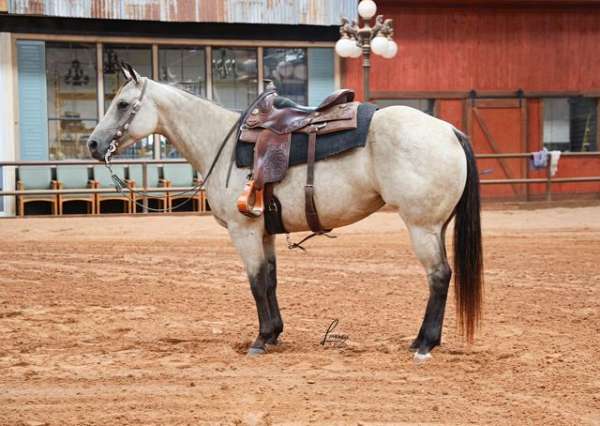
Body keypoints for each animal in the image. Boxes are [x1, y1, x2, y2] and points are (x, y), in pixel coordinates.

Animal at [88, 65, 482, 362]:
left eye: (122, 104)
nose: (93, 143)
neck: (221, 144)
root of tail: (449, 130)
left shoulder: (243, 230)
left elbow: (256, 282)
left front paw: (260, 339)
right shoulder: (264, 232)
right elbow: (271, 281)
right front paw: (275, 333)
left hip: (421, 226)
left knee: (438, 276)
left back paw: (425, 344)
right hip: (436, 226)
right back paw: (423, 340)